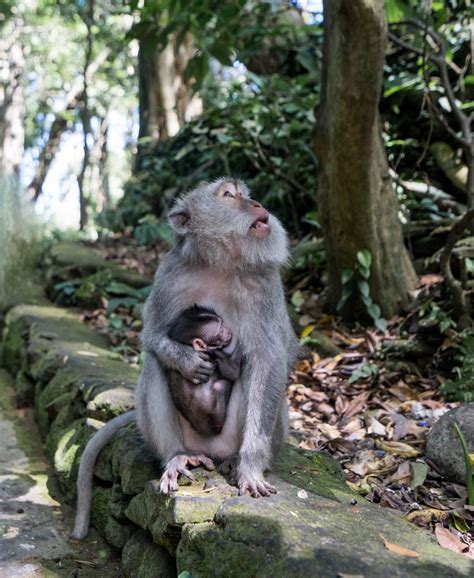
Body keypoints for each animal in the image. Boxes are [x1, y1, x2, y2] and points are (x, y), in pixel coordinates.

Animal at [167, 304, 241, 434]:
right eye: (220, 330)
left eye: (222, 323)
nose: (228, 330)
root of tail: (202, 427)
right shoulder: (214, 353)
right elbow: (233, 372)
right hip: (216, 413)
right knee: (221, 385)